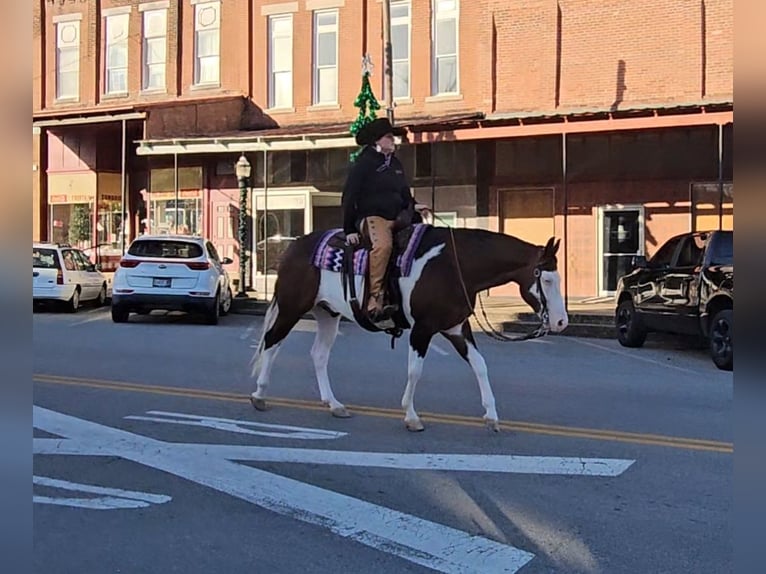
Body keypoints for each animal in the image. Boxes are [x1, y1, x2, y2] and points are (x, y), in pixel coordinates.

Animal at [249, 225, 568, 432]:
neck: (454, 266)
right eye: (546, 279)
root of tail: (293, 246)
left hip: (328, 313)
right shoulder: (422, 330)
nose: (562, 322)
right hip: (292, 307)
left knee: (318, 355)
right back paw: (259, 395)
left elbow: (480, 365)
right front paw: (412, 416)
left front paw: (491, 415)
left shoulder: (455, 328)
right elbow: (415, 371)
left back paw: (334, 404)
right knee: (272, 341)